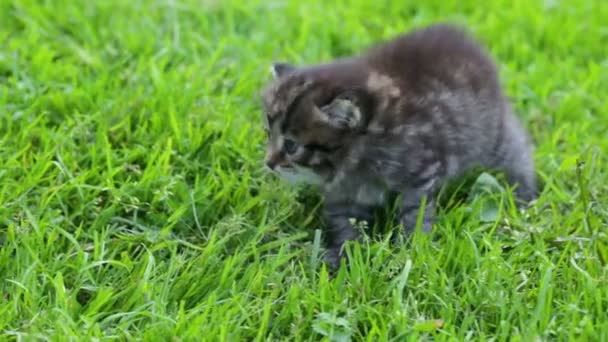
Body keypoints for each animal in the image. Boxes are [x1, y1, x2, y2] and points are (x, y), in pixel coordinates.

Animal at [260, 24, 536, 270]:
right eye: (268, 133)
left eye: (291, 145)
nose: (269, 163)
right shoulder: (343, 192)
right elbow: (345, 222)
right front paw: (343, 254)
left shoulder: (421, 172)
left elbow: (415, 213)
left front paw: (410, 250)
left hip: (492, 134)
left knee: (518, 149)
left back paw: (525, 193)